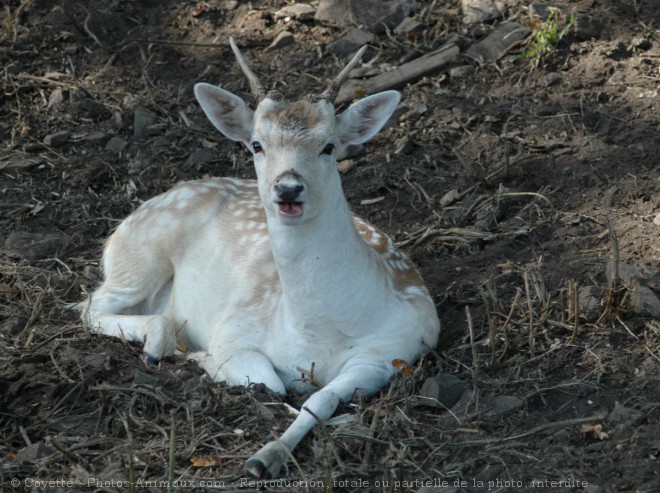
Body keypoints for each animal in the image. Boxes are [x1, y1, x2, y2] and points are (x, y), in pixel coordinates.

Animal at [84, 38, 444, 476]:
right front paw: (207, 362)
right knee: (91, 305)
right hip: (139, 256)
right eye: (257, 144)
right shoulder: (235, 330)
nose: (288, 187)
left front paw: (266, 457)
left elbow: (320, 398)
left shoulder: (392, 352)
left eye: (329, 146)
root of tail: (124, 223)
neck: (316, 331)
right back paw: (160, 344)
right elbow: (269, 384)